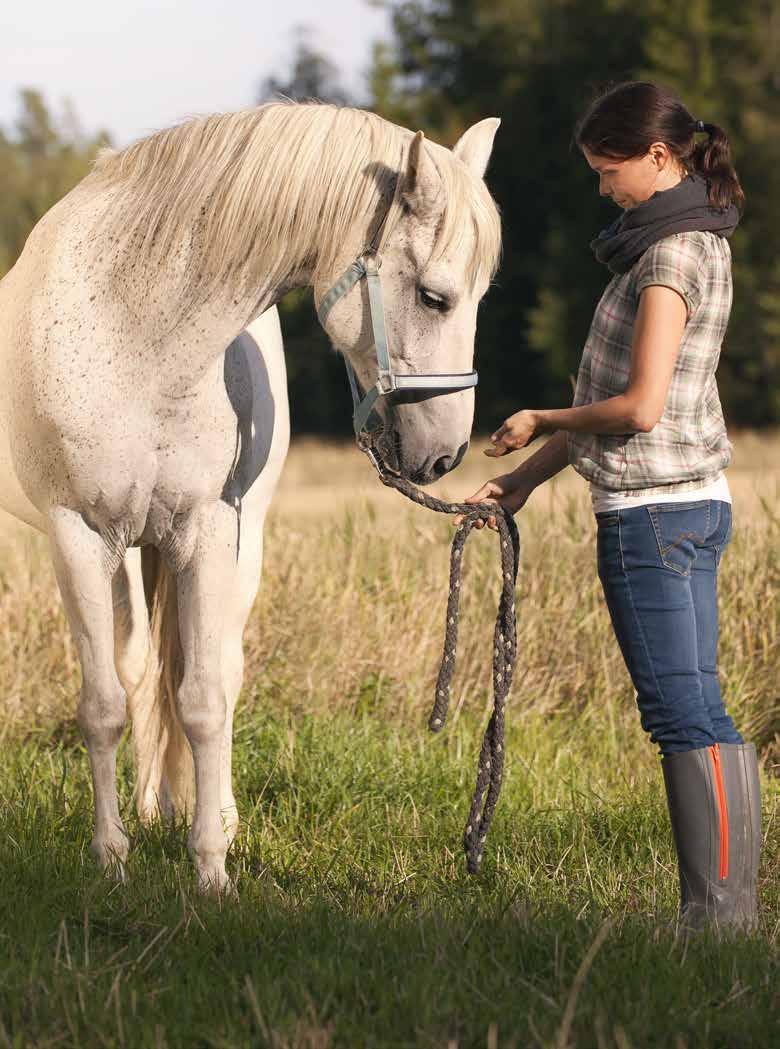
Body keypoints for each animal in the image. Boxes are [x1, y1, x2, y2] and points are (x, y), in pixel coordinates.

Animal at [0, 100, 499, 893]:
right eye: (434, 296)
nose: (445, 454)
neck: (132, 327)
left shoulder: (204, 530)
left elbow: (204, 698)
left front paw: (210, 866)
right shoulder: (78, 534)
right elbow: (103, 704)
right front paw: (111, 859)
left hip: (239, 540)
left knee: (215, 671)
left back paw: (209, 815)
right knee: (138, 666)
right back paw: (149, 808)